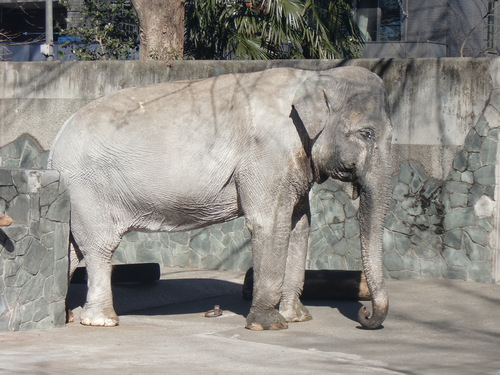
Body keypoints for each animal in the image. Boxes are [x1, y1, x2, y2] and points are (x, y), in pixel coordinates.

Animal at [49, 66, 394, 330]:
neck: (315, 76)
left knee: (72, 246)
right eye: (365, 134)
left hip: (76, 192)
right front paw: (269, 325)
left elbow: (300, 226)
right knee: (98, 246)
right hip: (88, 186)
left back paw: (68, 316)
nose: (365, 314)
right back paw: (101, 321)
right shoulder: (267, 155)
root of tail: (56, 140)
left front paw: (297, 318)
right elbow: (270, 224)